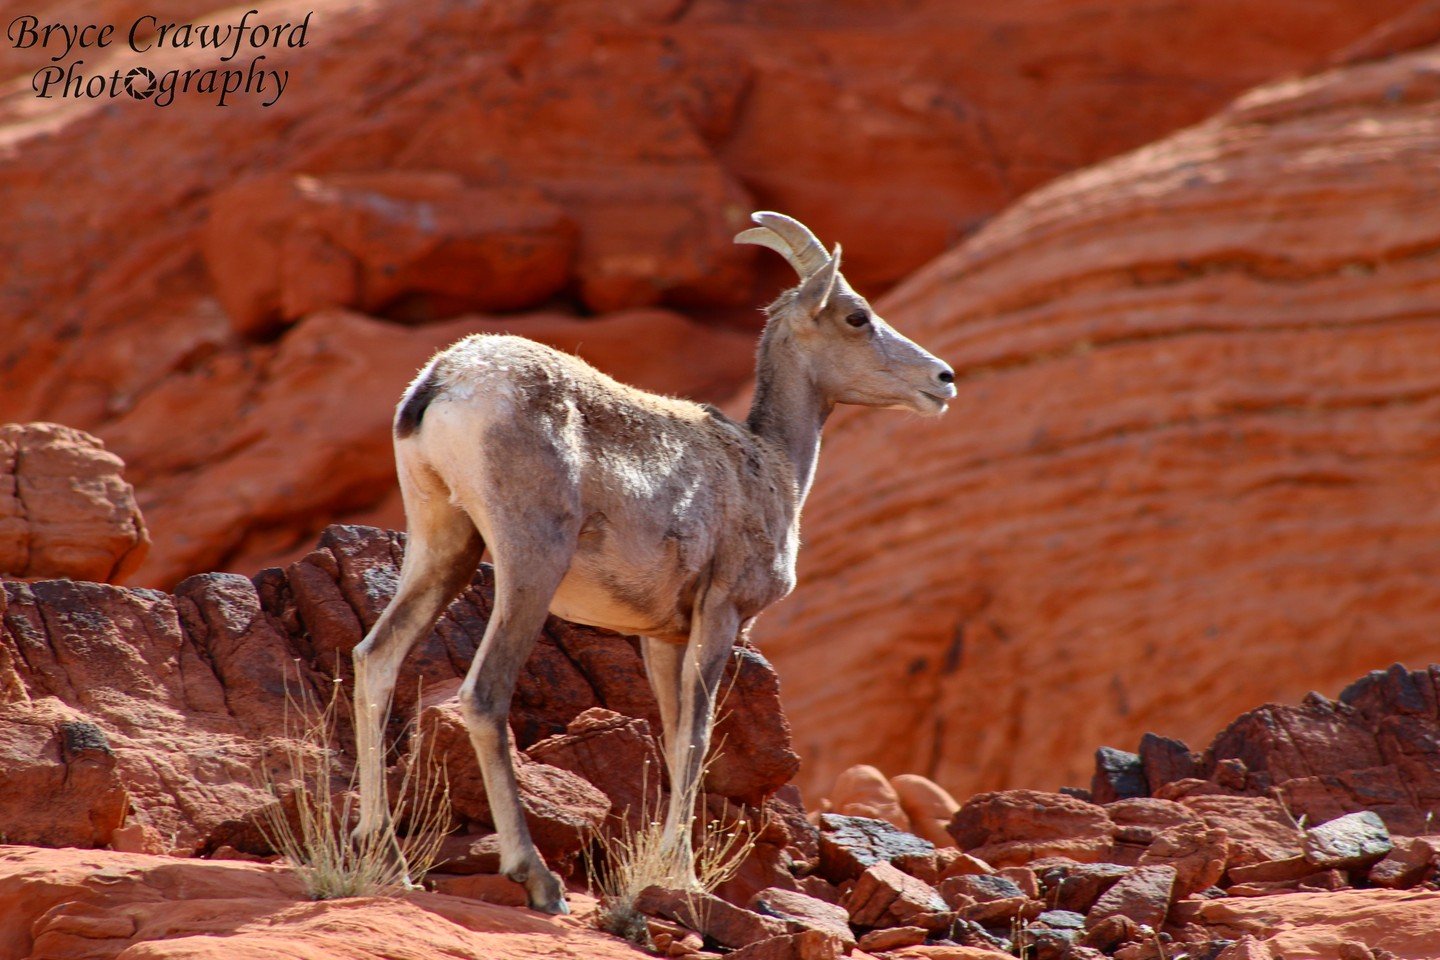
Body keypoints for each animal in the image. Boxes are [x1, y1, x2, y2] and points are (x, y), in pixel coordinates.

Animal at [351, 211, 956, 913]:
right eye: (857, 316)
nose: (943, 380)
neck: (769, 464)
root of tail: (445, 380)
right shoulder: (721, 614)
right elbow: (697, 739)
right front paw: (682, 876)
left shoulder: (661, 638)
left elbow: (671, 738)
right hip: (530, 563)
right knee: (483, 694)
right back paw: (537, 880)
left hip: (442, 545)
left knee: (376, 660)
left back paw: (389, 860)